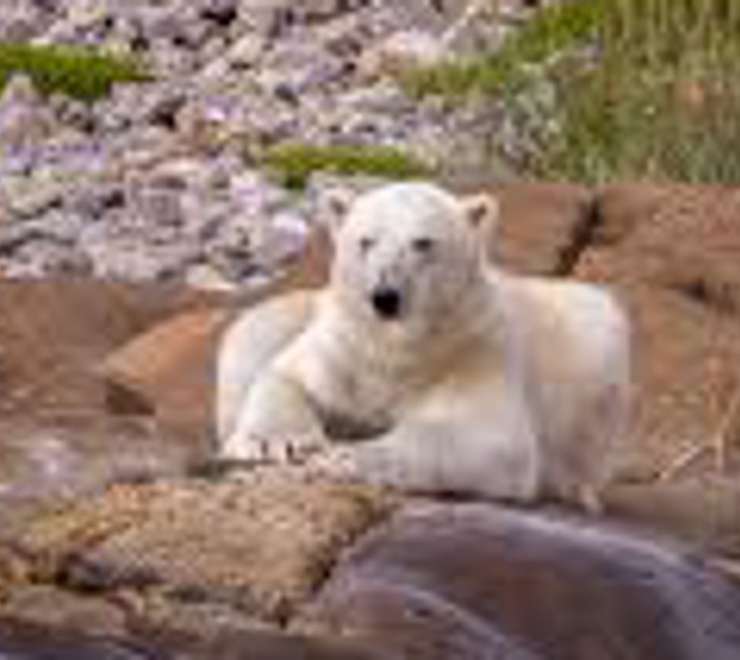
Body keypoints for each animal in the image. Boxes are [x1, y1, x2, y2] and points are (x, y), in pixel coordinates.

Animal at [216, 182, 631, 512]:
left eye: (423, 243)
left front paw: (341, 458)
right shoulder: (347, 346)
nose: (385, 297)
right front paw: (275, 444)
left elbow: (487, 437)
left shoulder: (476, 351)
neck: (401, 347)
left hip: (595, 340)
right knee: (255, 329)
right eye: (365, 241)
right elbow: (286, 375)